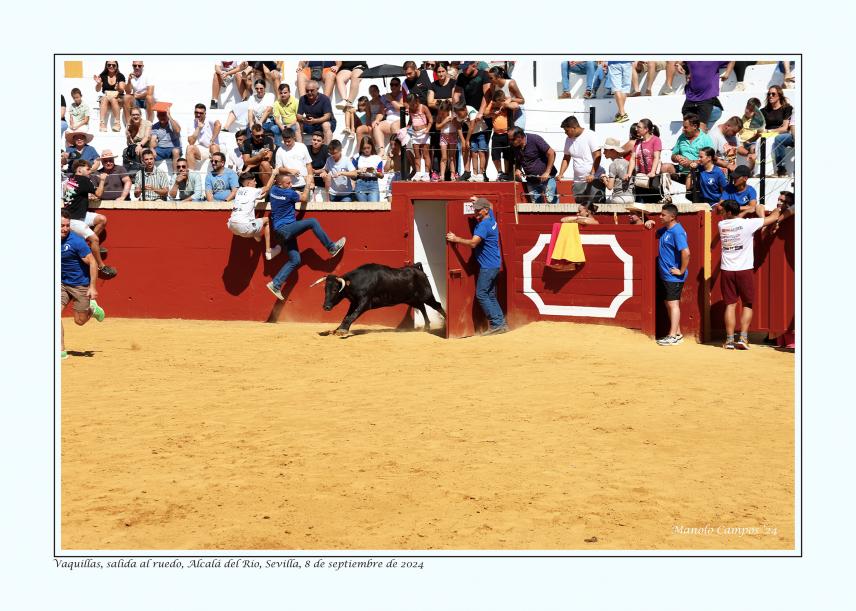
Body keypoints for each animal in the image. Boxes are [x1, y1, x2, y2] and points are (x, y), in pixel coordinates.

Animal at [310, 263, 446, 335]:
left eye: (334, 290)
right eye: (325, 290)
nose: (326, 307)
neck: (355, 282)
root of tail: (417, 269)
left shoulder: (364, 302)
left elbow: (353, 315)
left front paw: (342, 330)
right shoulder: (354, 302)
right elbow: (347, 315)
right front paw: (339, 329)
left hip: (427, 295)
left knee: (437, 305)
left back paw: (444, 323)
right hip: (411, 299)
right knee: (422, 307)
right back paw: (427, 327)